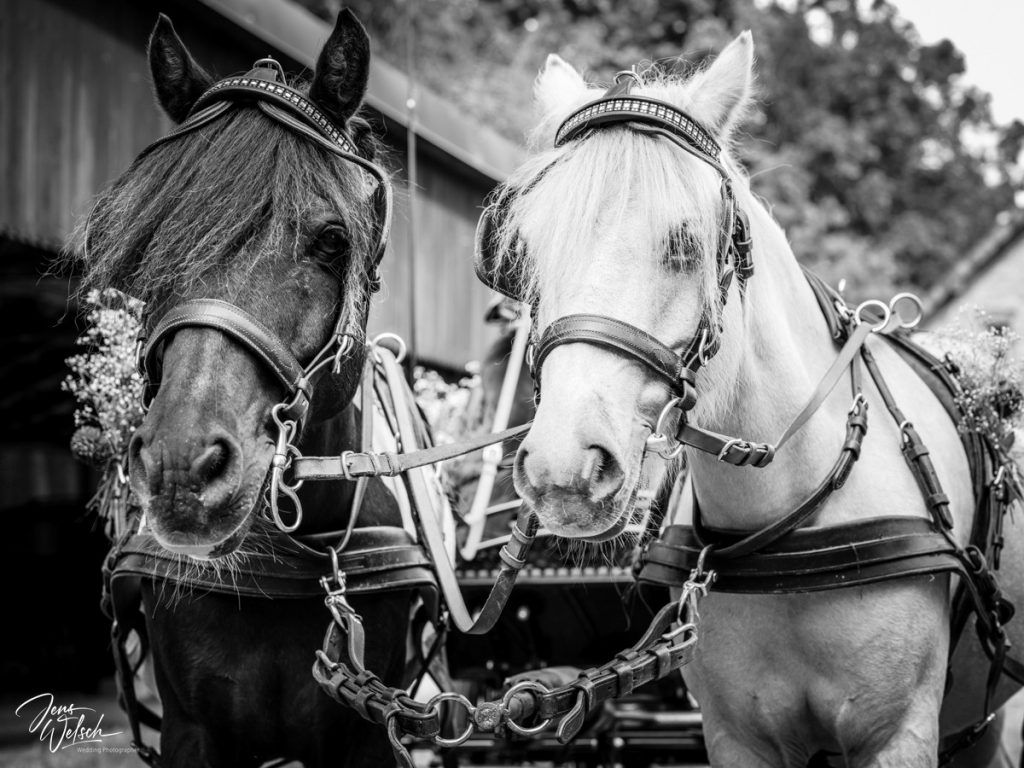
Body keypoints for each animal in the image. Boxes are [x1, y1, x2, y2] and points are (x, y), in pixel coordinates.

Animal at [474, 31, 1024, 768]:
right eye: (523, 255)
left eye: (686, 245)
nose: (563, 469)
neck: (785, 527)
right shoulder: (737, 737)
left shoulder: (899, 734)